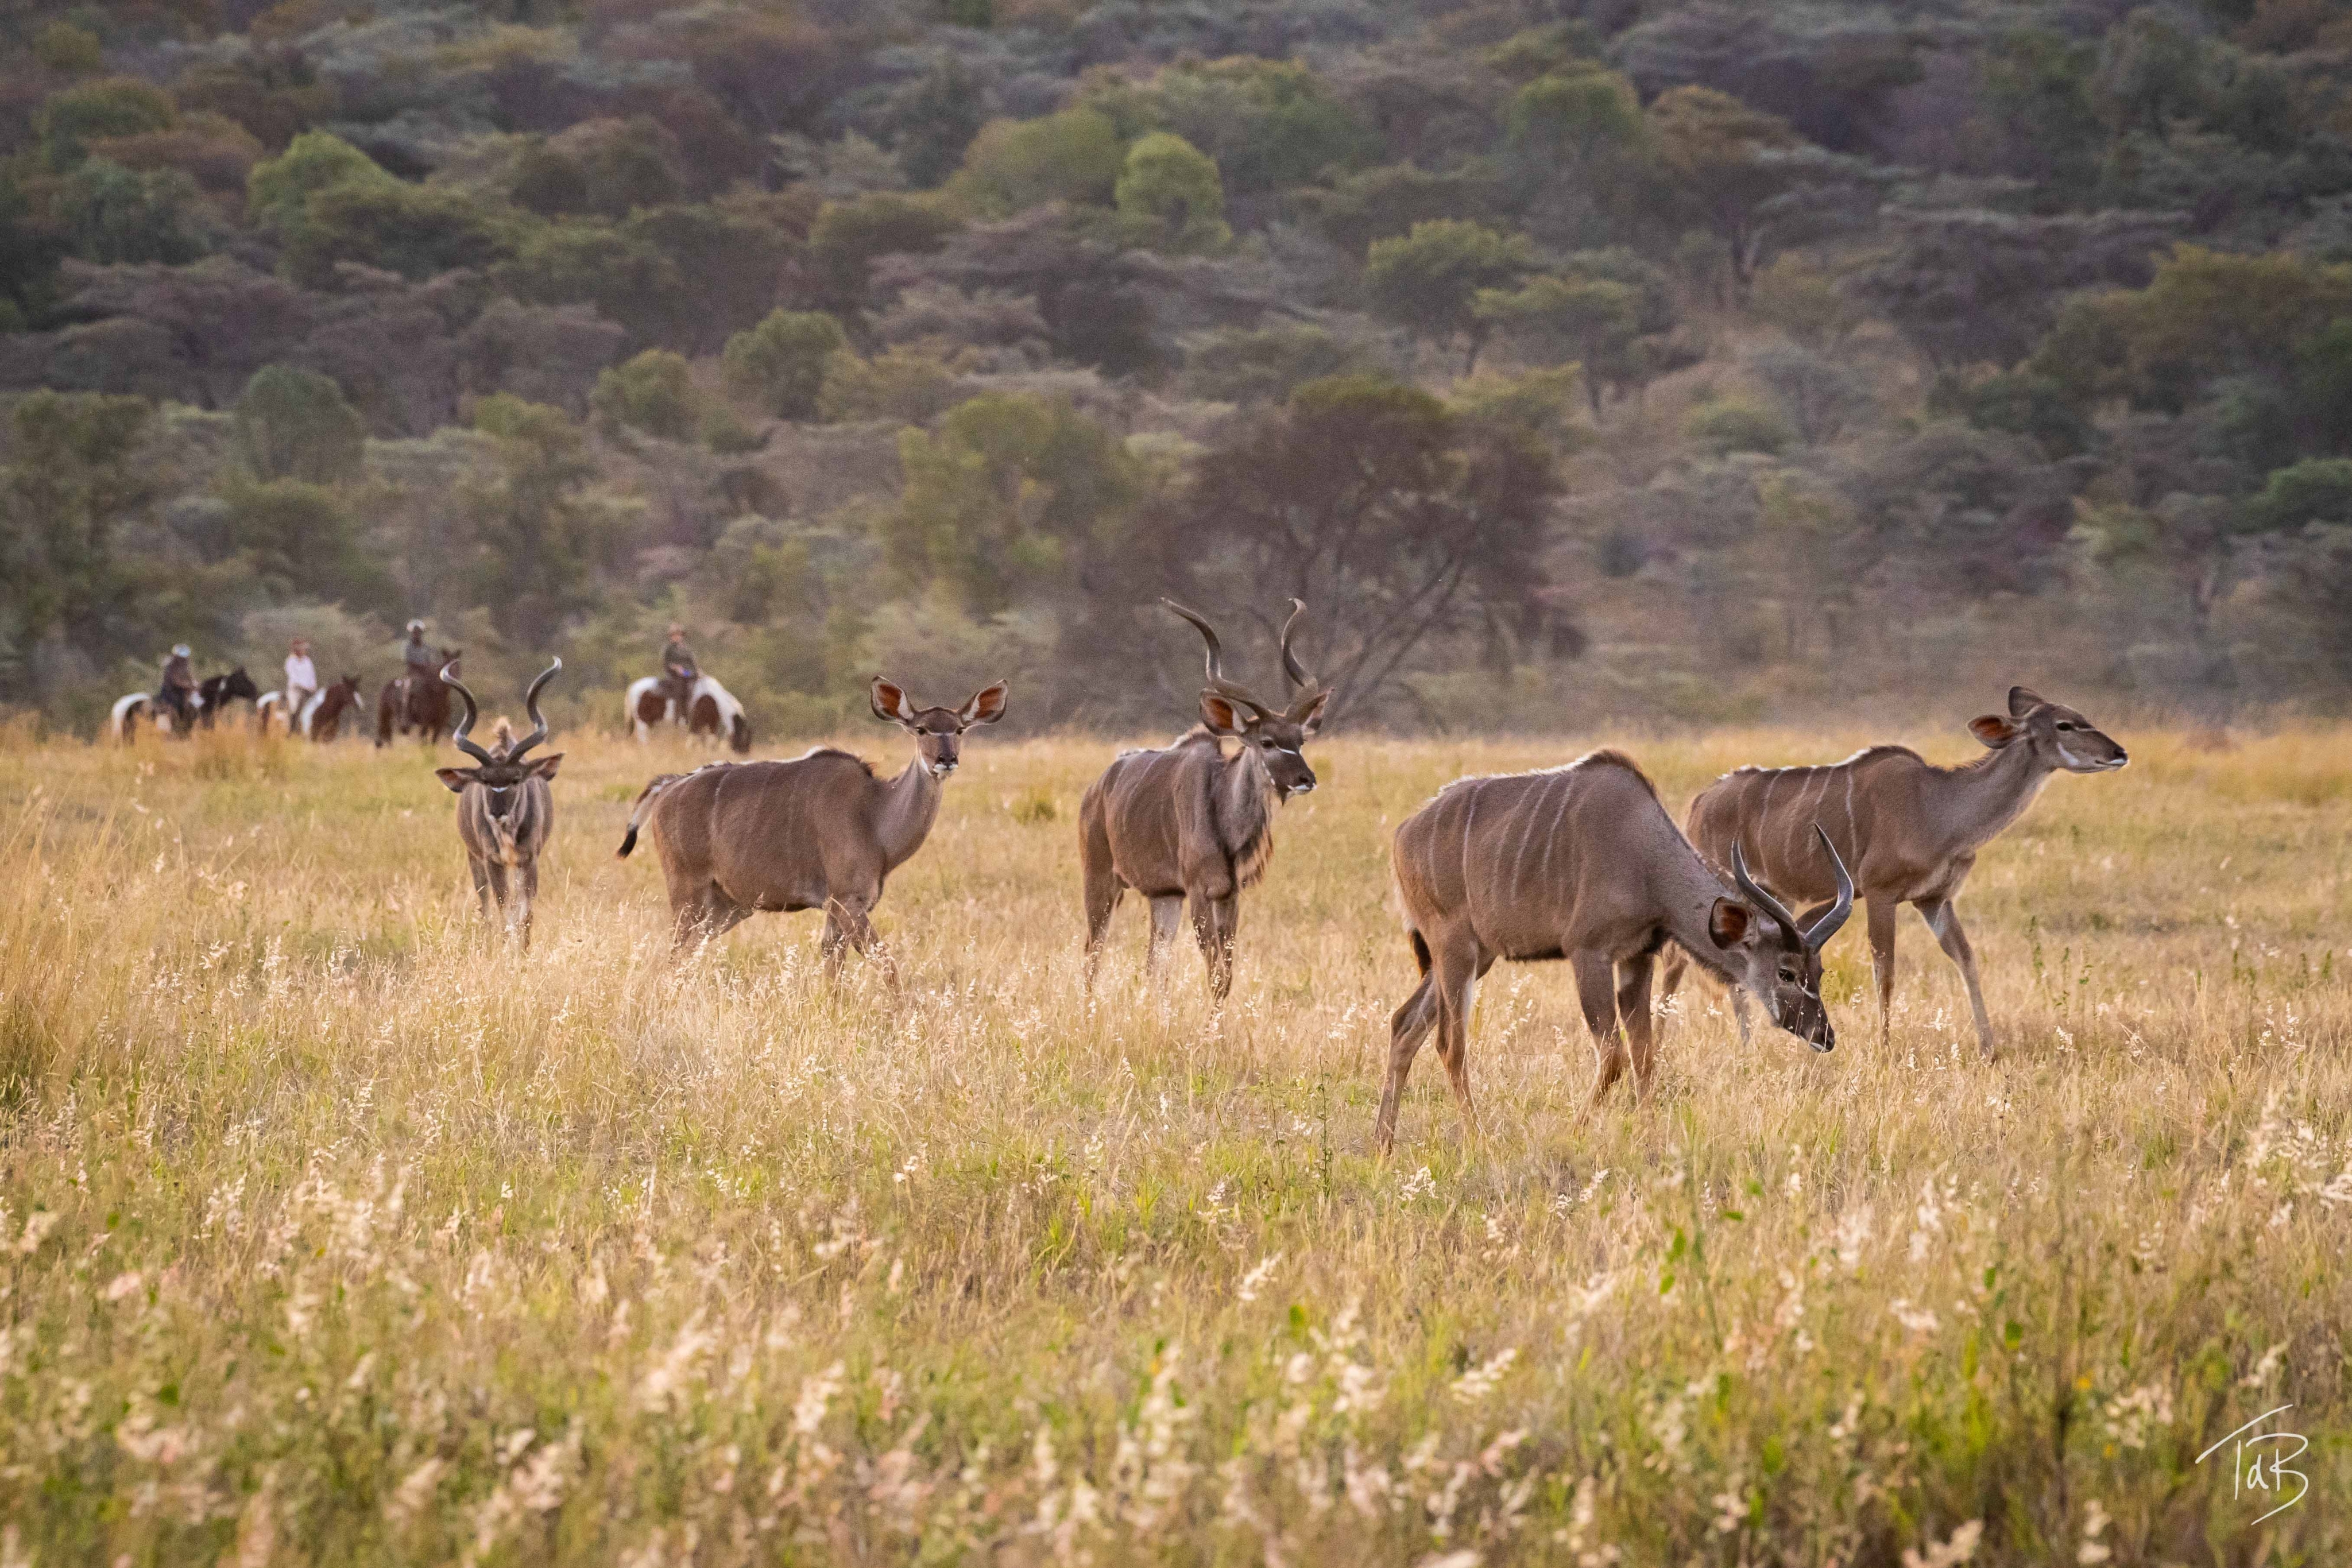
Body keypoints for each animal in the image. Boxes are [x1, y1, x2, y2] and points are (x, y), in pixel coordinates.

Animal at [376, 649, 461, 746]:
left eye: (458, 666)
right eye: (447, 664)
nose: (455, 678)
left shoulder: (438, 725)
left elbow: (433, 742)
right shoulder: (425, 723)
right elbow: (423, 742)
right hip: (384, 716)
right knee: (383, 738)